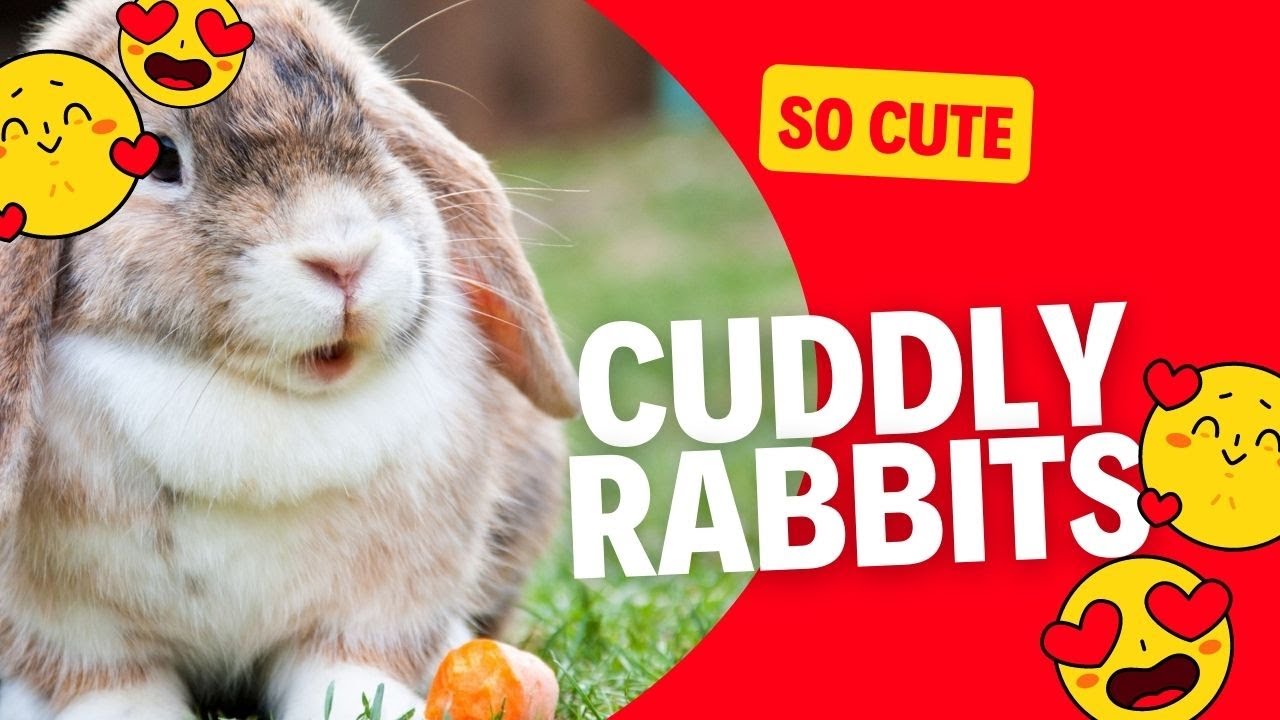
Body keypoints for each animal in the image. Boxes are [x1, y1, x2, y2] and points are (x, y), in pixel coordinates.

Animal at [0, 0, 580, 718]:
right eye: (160, 161)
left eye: (367, 121)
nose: (344, 258)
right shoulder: (79, 635)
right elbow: (109, 684)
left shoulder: (376, 606)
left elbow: (346, 665)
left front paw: (375, 704)